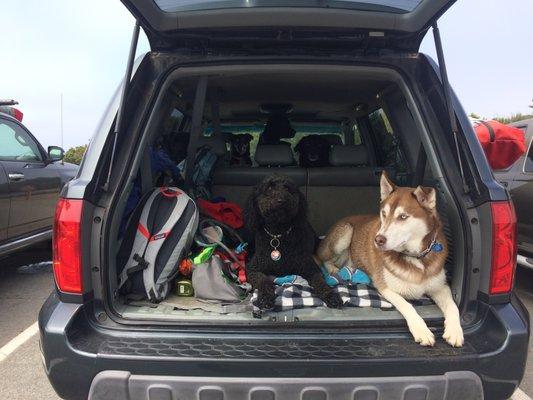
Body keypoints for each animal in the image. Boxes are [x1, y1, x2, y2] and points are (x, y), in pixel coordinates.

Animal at [244, 173, 342, 308]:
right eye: (269, 187)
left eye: (288, 188)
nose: (281, 200)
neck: (278, 234)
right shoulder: (252, 269)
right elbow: (263, 280)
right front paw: (265, 297)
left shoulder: (310, 268)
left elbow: (320, 282)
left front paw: (331, 296)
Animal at [318, 172, 464, 346]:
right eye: (384, 214)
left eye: (403, 216)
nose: (378, 239)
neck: (415, 256)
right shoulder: (385, 287)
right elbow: (407, 305)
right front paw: (421, 330)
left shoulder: (440, 286)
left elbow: (453, 306)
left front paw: (455, 331)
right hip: (345, 233)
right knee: (323, 258)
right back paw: (333, 269)